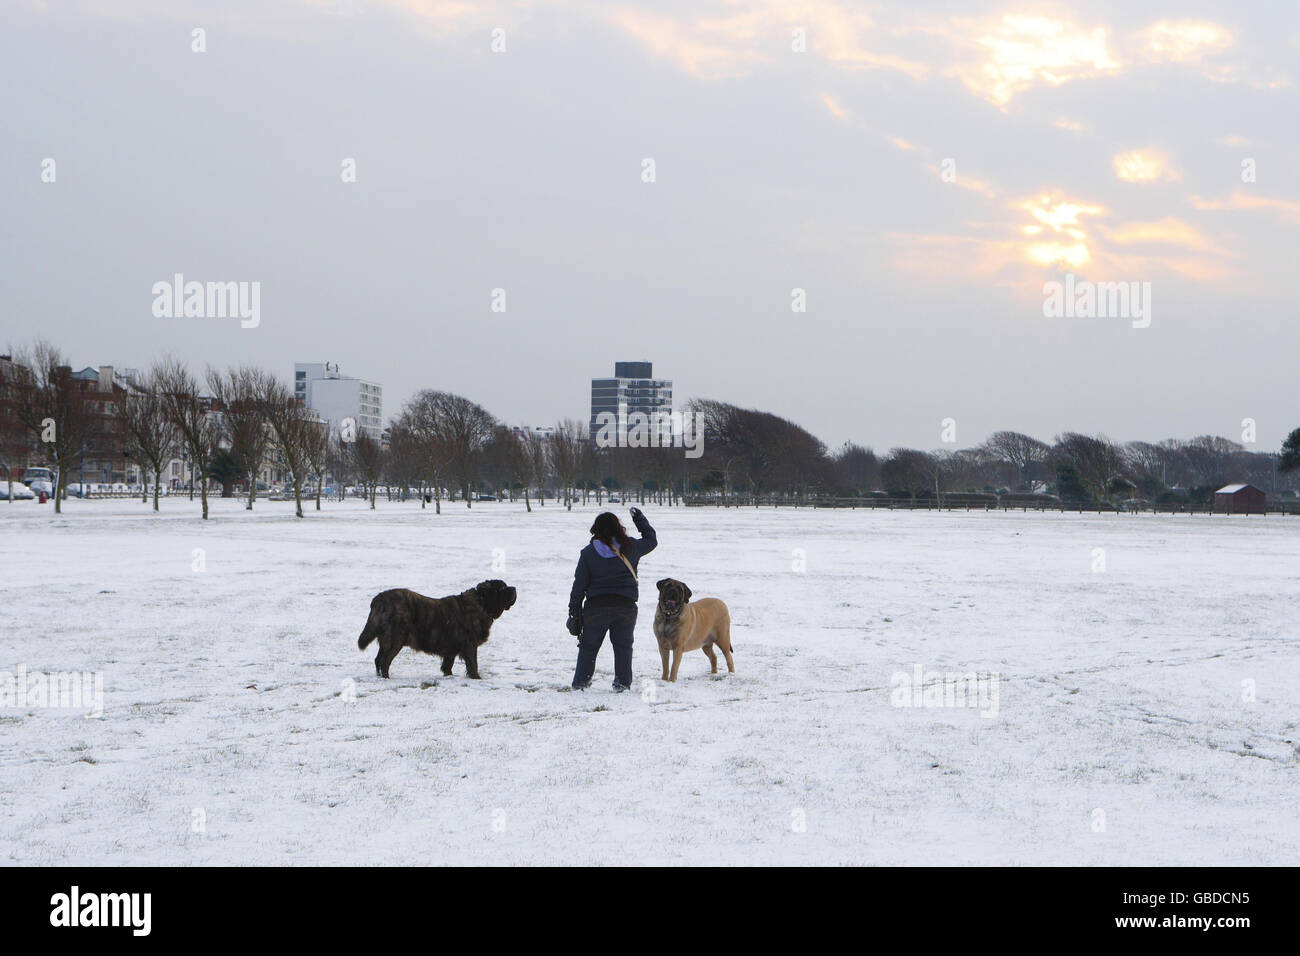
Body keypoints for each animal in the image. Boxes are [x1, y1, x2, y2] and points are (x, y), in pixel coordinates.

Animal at [361, 580, 517, 676]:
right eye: (501, 588)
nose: (514, 588)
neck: (481, 604)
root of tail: (380, 599)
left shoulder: (450, 650)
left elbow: (447, 666)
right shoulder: (470, 646)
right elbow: (473, 665)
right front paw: (476, 677)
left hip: (386, 640)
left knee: (378, 660)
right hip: (395, 639)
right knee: (384, 661)